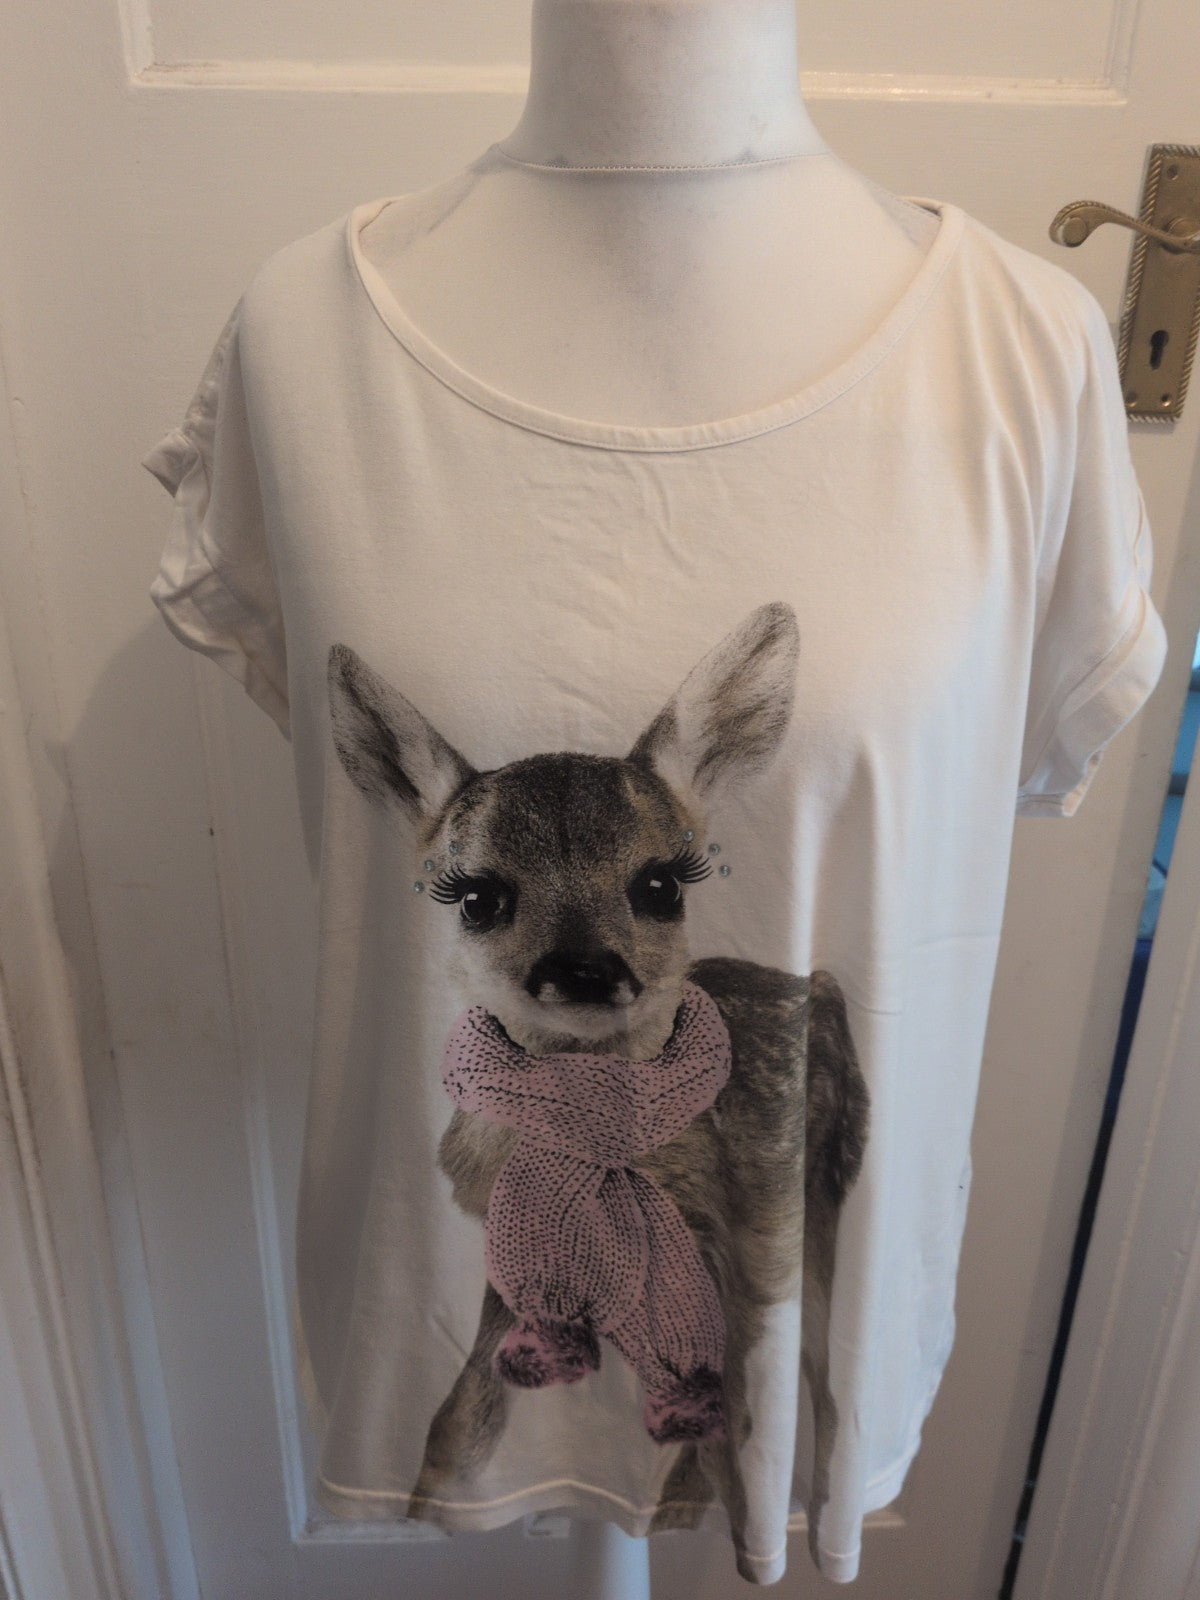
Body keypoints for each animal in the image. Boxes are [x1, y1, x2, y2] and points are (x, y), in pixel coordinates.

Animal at [326, 599, 869, 1572]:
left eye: (660, 884)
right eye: (477, 897)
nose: (584, 969)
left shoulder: (726, 1254)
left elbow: (722, 1431)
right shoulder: (512, 1265)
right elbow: (456, 1422)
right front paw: (429, 1506)